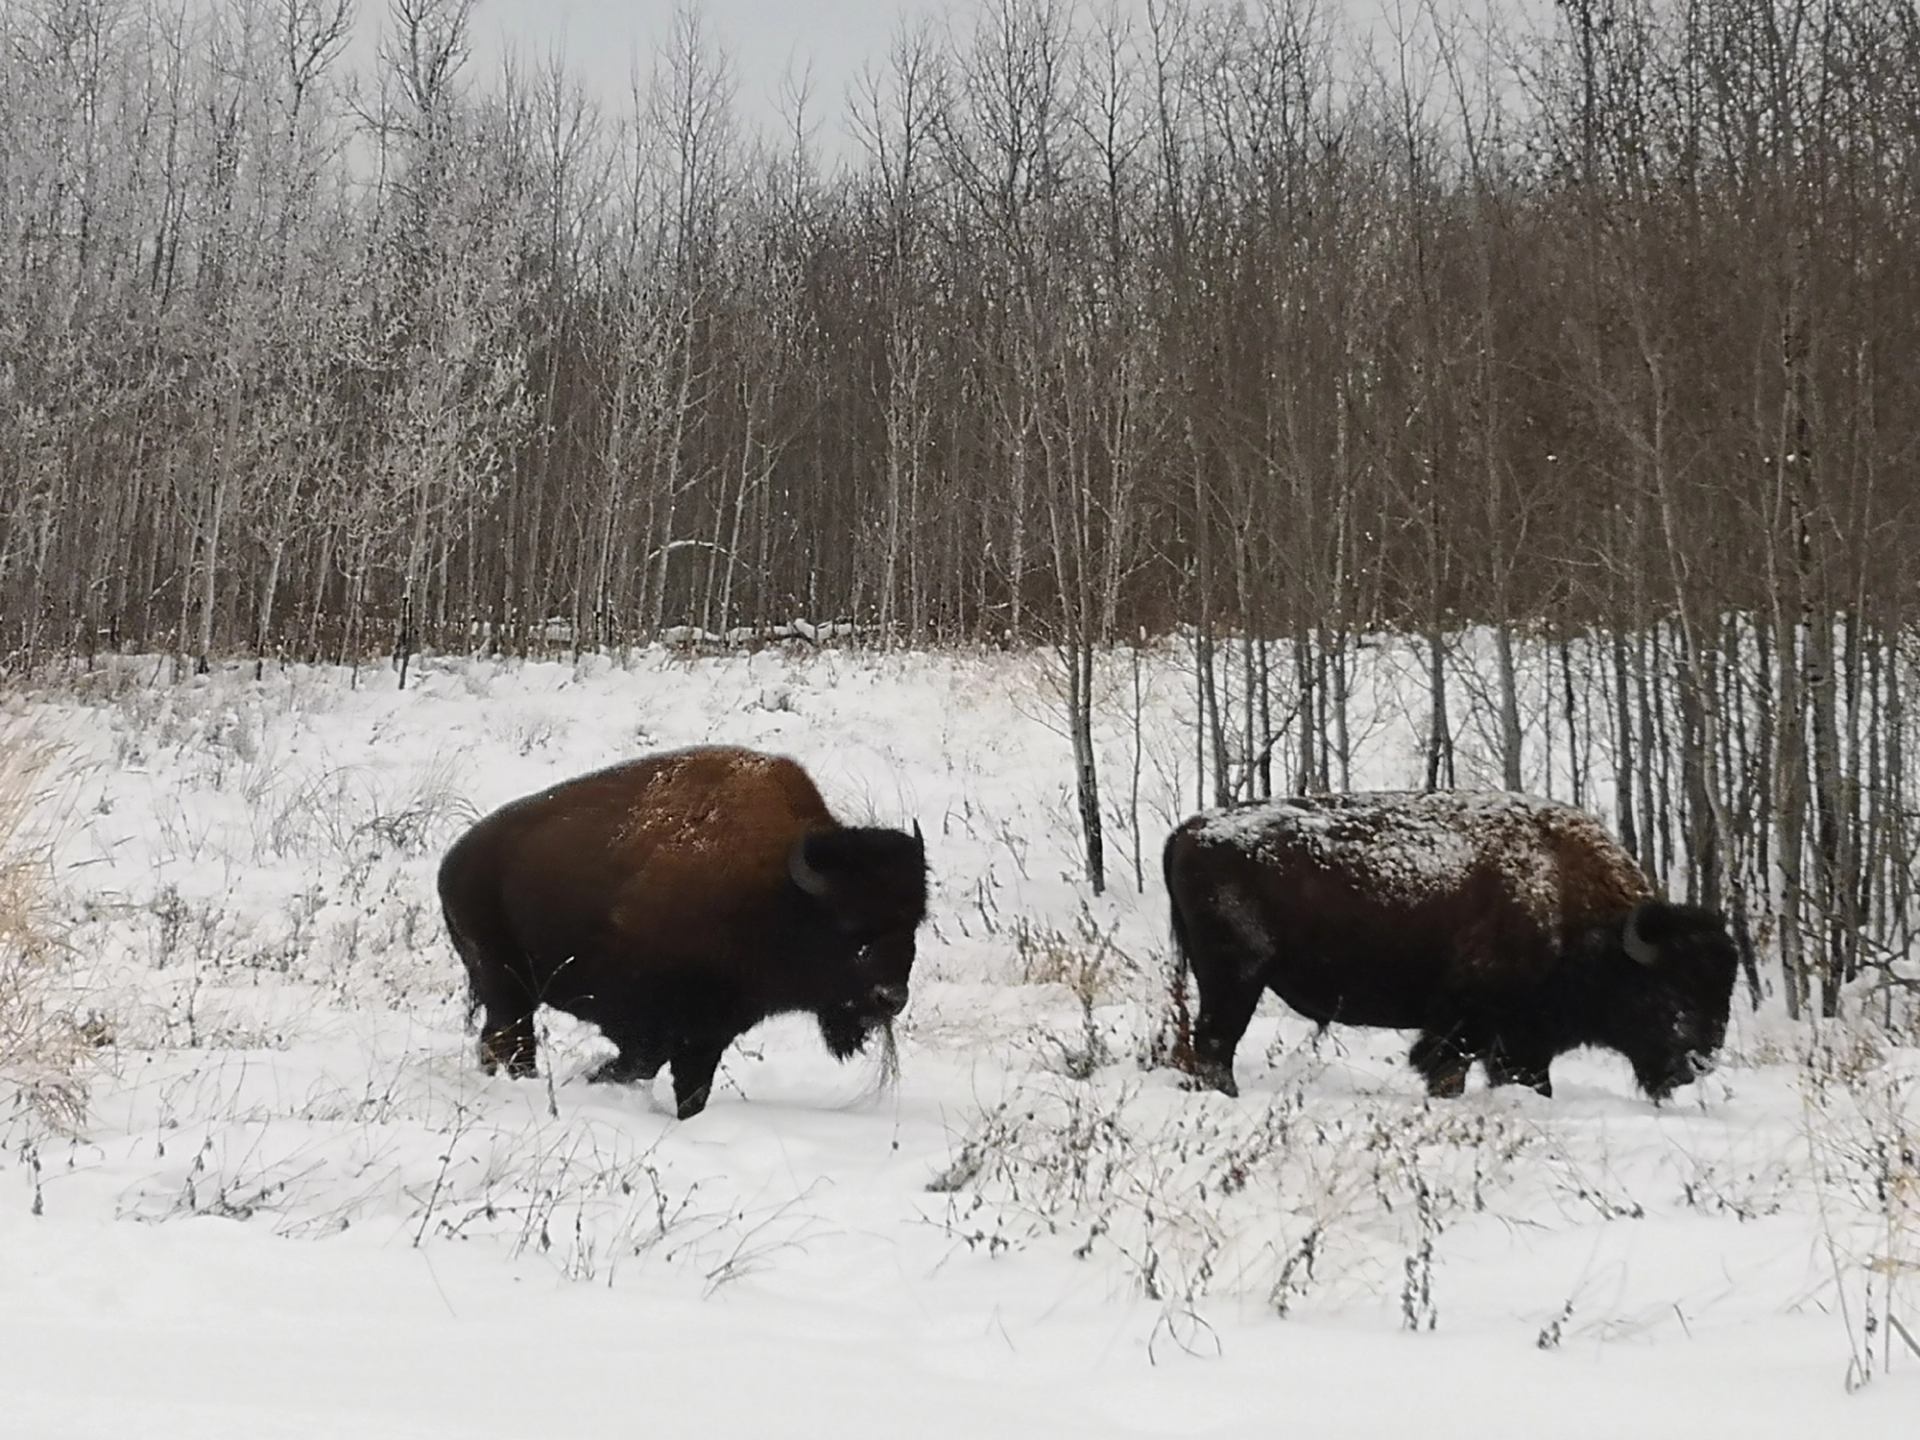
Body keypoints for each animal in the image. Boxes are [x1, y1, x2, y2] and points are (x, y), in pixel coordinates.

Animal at [437, 744, 929, 1118]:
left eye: (914, 922)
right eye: (849, 924)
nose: (890, 998)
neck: (778, 889)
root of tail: (454, 859)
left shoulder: (709, 1034)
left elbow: (689, 1089)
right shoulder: (651, 1026)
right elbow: (636, 1064)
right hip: (508, 986)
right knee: (511, 1043)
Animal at [1163, 790, 1739, 1102]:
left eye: (1724, 992)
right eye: (1668, 993)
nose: (1698, 1063)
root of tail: (1188, 831)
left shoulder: (1514, 1041)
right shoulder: (1472, 1029)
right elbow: (1453, 1070)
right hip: (1236, 979)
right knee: (1216, 1044)